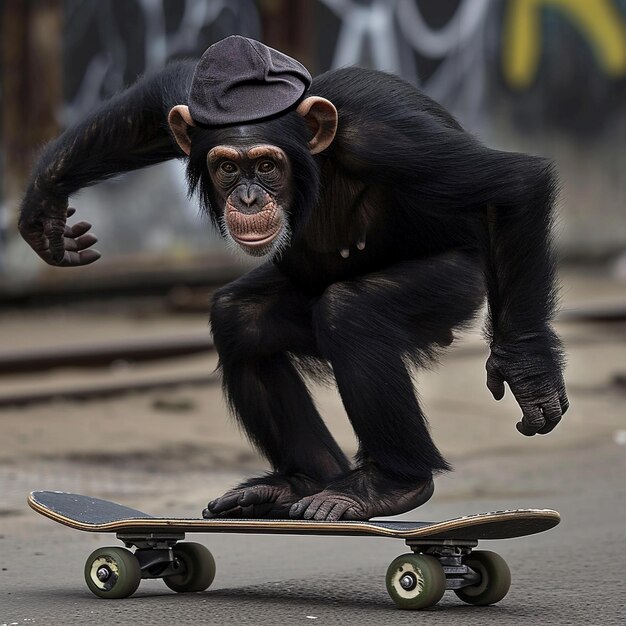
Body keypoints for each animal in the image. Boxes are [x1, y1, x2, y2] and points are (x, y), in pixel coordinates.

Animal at [18, 36, 564, 520]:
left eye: (265, 165)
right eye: (227, 168)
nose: (248, 198)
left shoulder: (388, 141)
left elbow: (513, 184)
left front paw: (528, 373)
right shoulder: (197, 110)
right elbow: (157, 103)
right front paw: (44, 202)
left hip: (460, 286)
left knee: (351, 312)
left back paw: (390, 485)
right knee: (239, 320)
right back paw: (302, 482)